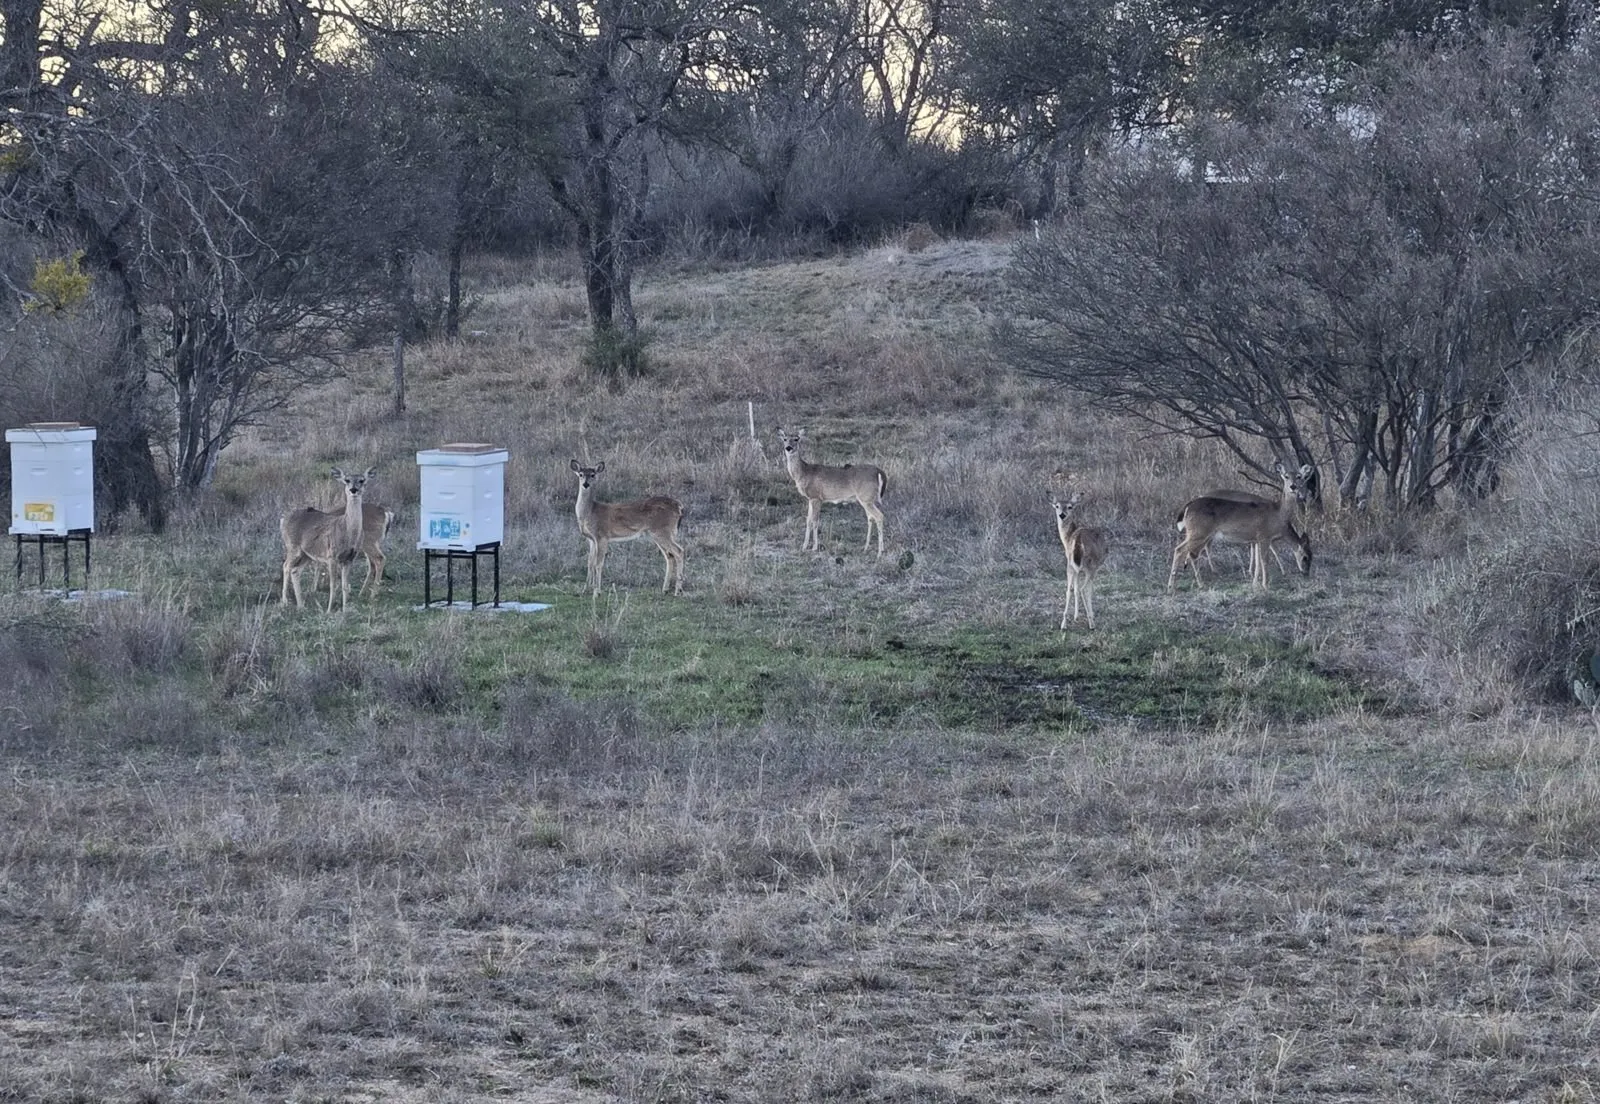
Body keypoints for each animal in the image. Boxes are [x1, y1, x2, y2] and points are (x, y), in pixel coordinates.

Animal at [280, 467, 375, 612]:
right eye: (346, 480)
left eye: (362, 480)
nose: (353, 489)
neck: (348, 532)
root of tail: (283, 520)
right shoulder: (332, 556)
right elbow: (333, 585)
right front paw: (329, 610)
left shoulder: (349, 559)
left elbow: (345, 586)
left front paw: (345, 610)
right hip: (292, 546)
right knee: (286, 566)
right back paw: (285, 602)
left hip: (306, 554)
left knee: (295, 571)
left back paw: (301, 606)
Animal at [570, 460, 685, 595]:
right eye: (581, 474)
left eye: (593, 475)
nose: (586, 484)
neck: (591, 512)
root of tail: (679, 506)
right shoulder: (591, 539)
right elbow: (590, 562)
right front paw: (586, 588)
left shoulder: (602, 536)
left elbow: (598, 563)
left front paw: (597, 591)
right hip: (658, 534)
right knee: (669, 556)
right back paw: (665, 589)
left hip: (662, 531)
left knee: (679, 551)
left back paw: (678, 590)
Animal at [1050, 489, 1110, 629]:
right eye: (1057, 506)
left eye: (1070, 507)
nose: (1062, 515)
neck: (1068, 537)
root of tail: (1078, 540)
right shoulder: (1091, 567)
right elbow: (1083, 590)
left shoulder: (1075, 567)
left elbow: (1074, 589)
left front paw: (1075, 616)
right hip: (1091, 566)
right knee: (1084, 589)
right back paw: (1091, 622)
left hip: (1070, 564)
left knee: (1069, 590)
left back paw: (1063, 625)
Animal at [1168, 462, 1314, 592]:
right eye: (1286, 476)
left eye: (1299, 476)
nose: (1293, 487)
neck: (1279, 514)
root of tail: (1187, 507)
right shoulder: (1264, 536)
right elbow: (1265, 560)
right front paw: (1265, 586)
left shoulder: (1256, 539)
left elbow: (1257, 563)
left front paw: (1255, 584)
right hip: (1199, 531)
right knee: (1180, 550)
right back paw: (1172, 587)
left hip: (1199, 533)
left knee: (1191, 553)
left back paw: (1199, 584)